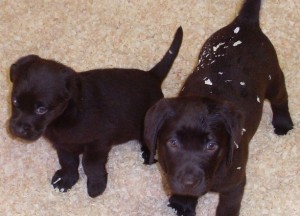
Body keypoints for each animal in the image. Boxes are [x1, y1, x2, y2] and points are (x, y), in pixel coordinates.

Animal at [8, 27, 183, 197]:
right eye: (15, 101)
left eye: (41, 109)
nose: (17, 130)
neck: (65, 116)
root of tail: (152, 75)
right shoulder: (63, 145)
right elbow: (68, 162)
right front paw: (67, 179)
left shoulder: (99, 143)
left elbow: (90, 164)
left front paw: (96, 184)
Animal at [144, 0, 292, 215]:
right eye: (172, 143)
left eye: (211, 146)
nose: (188, 182)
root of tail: (245, 22)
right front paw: (183, 202)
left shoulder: (235, 185)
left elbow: (227, 207)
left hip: (273, 78)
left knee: (281, 97)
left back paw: (283, 123)